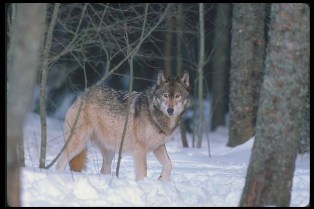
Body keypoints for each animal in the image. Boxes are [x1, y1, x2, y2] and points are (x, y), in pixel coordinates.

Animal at [55, 70, 190, 181]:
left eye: (177, 96)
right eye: (165, 95)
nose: (170, 110)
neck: (154, 113)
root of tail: (81, 96)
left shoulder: (158, 146)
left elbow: (169, 164)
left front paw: (162, 179)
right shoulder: (140, 148)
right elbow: (143, 172)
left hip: (109, 152)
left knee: (103, 171)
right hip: (78, 143)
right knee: (60, 163)